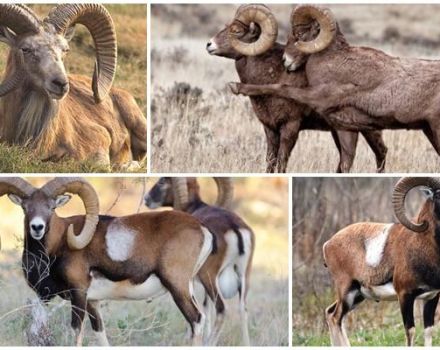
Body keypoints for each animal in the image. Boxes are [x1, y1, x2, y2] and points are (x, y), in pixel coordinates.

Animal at [0, 176, 213, 346]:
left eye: (51, 207)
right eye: (25, 207)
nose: (37, 227)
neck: (57, 246)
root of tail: (202, 229)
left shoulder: (78, 294)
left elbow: (76, 332)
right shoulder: (90, 302)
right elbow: (100, 334)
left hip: (177, 286)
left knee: (196, 319)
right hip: (187, 287)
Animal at [145, 178, 254, 344]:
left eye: (162, 181)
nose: (146, 199)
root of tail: (234, 227)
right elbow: (206, 307)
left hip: (209, 277)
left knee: (222, 309)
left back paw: (209, 342)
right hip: (243, 276)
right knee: (243, 310)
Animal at [229, 5, 440, 160]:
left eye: (299, 35)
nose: (286, 61)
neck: (335, 61)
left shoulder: (316, 96)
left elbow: (282, 87)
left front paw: (237, 87)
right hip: (428, 131)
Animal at [324, 178, 440, 348]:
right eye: (438, 195)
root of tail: (327, 244)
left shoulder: (431, 297)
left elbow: (429, 332)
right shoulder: (405, 296)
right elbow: (410, 331)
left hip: (357, 296)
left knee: (331, 314)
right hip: (346, 292)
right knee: (335, 317)